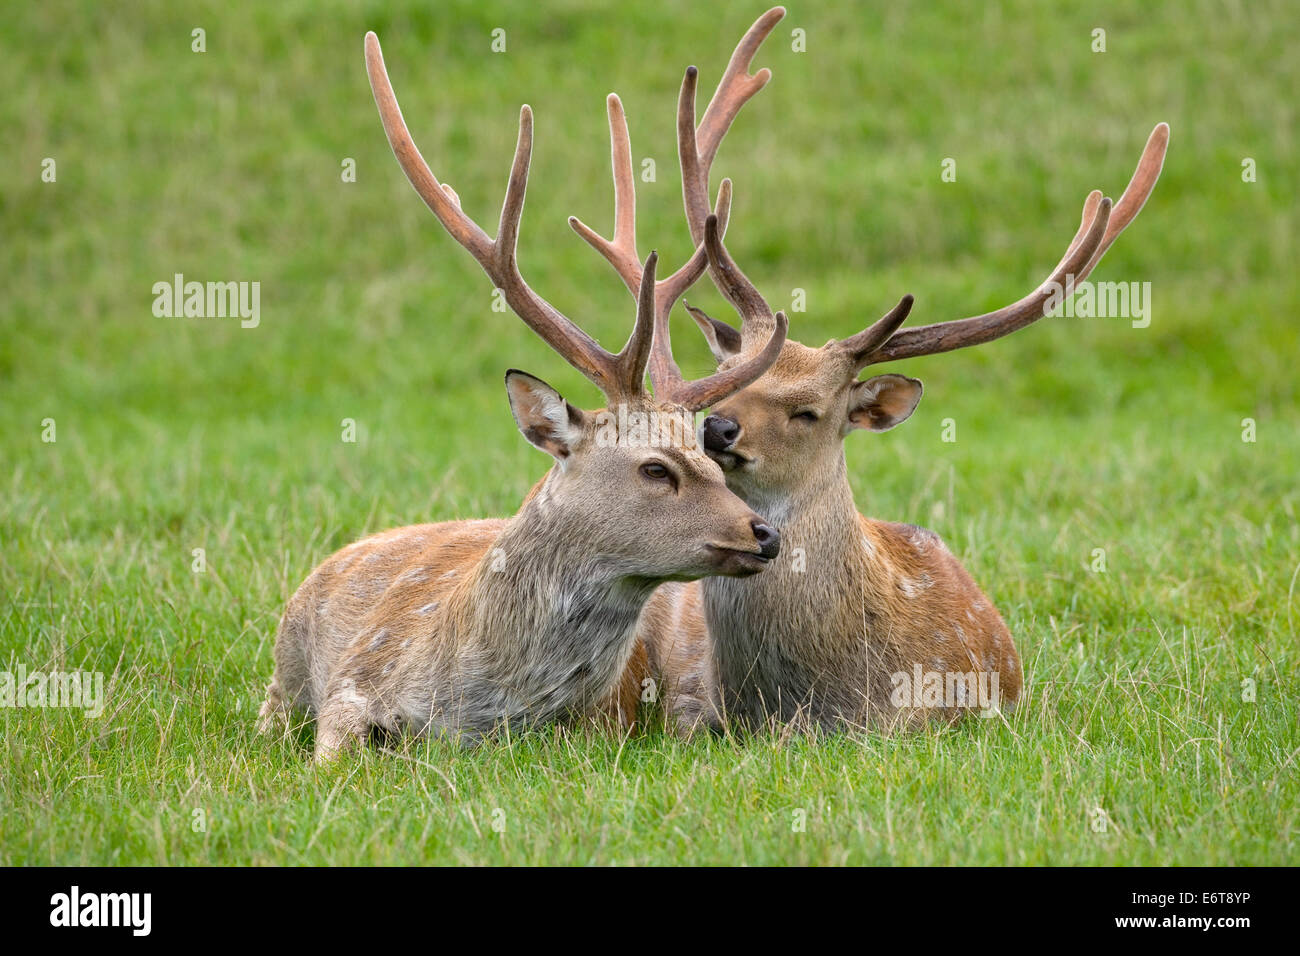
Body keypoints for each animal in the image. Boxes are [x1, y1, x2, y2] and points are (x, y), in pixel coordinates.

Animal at [256, 28, 791, 761]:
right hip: (282, 668)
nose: (764, 533)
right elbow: (334, 758)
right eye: (656, 468)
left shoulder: (603, 725)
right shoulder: (355, 681)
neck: (480, 709)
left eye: (711, 456)